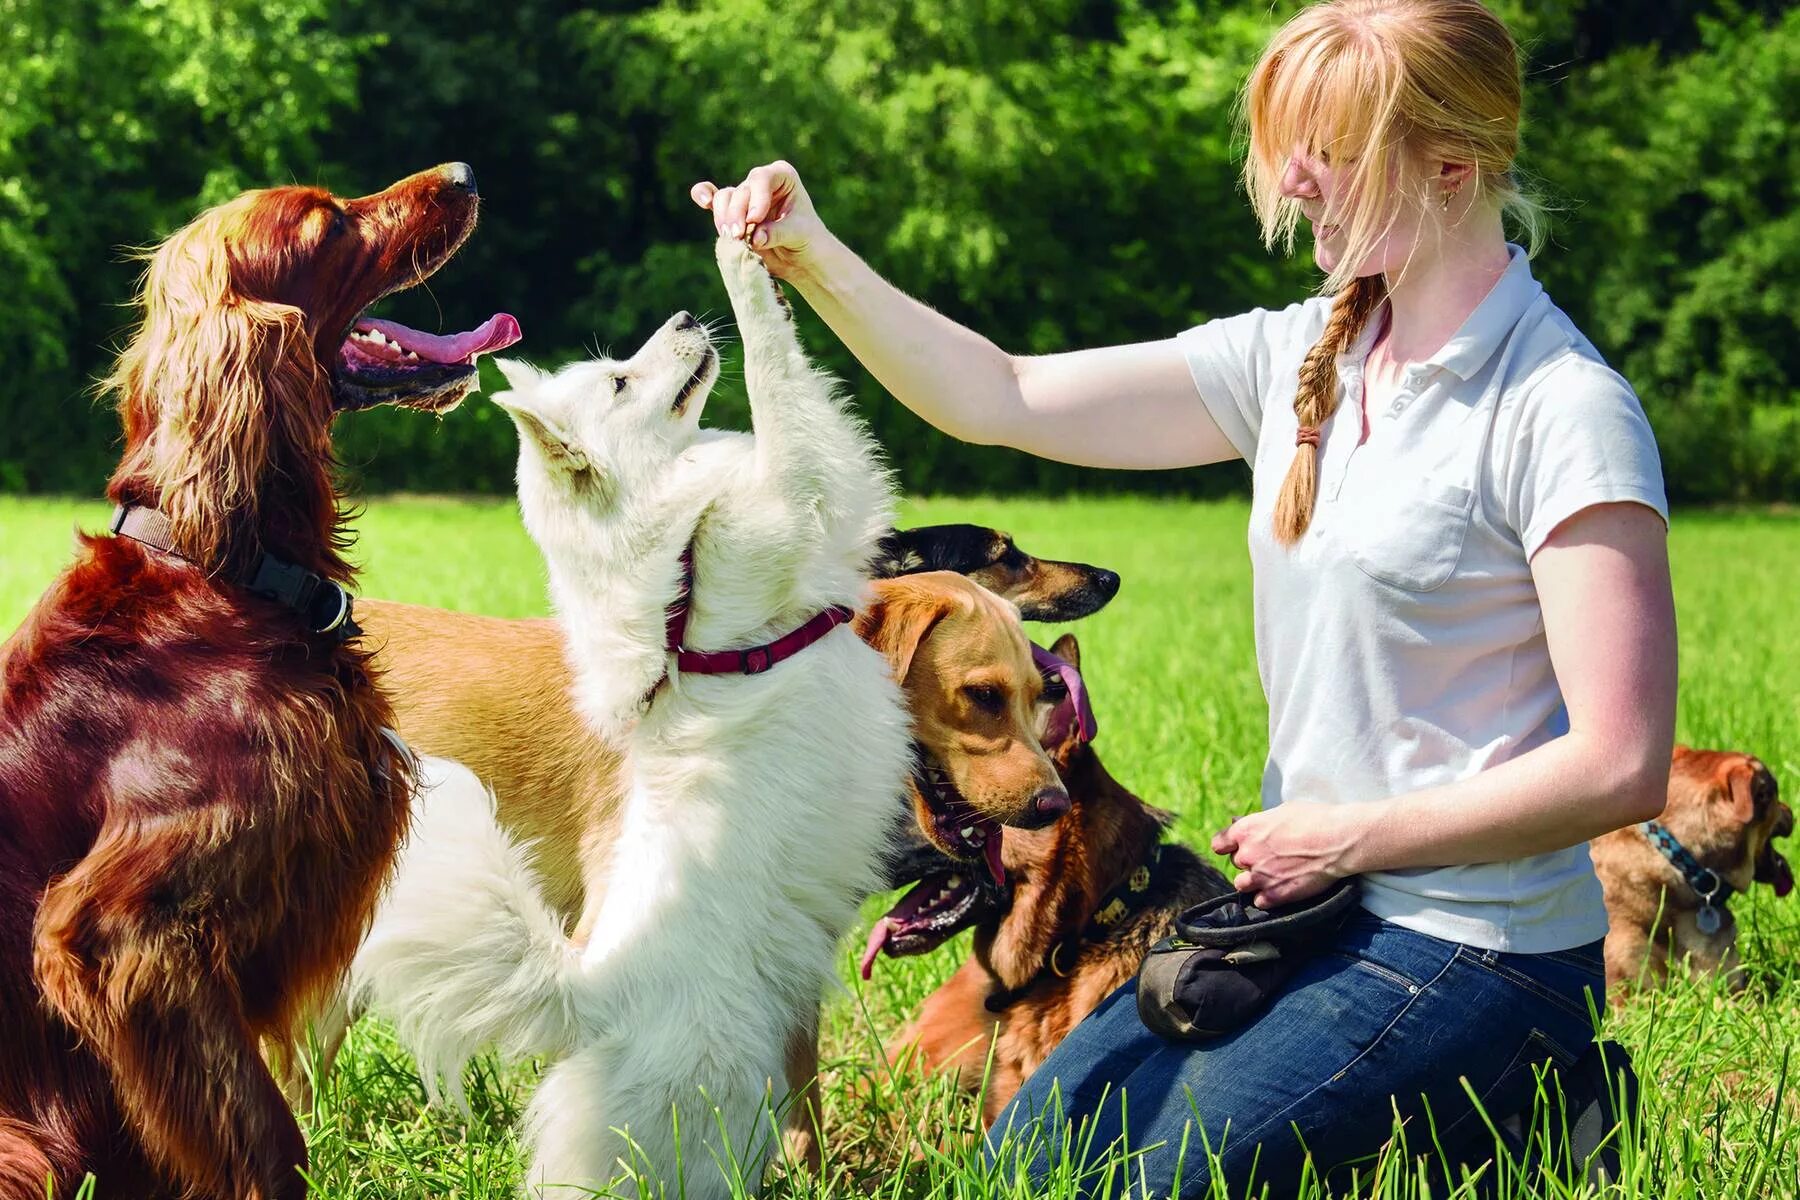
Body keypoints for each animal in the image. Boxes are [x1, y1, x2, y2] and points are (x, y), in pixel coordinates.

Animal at [351, 237, 914, 1200]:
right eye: (620, 381)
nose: (684, 316)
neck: (680, 558)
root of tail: (589, 995)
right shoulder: (806, 485)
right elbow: (777, 374)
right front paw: (741, 259)